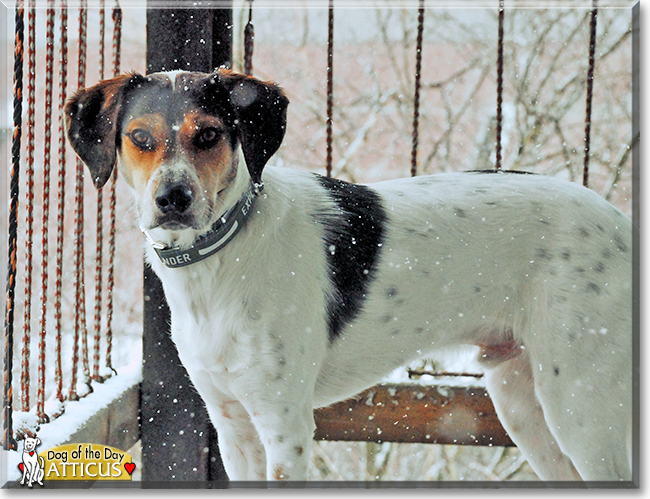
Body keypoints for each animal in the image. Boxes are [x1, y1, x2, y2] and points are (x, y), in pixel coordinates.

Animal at [63, 68, 632, 482]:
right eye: (139, 137)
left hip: (582, 408)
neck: (223, 259)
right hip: (523, 403)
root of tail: (623, 225)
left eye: (208, 135)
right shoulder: (232, 425)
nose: (172, 199)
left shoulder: (285, 428)